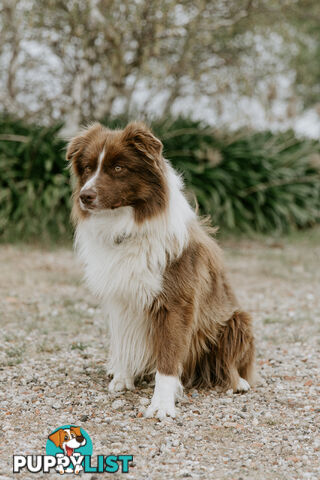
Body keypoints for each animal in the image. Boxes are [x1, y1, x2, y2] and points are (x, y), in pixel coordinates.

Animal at [67, 122, 255, 418]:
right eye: (87, 168)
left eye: (118, 168)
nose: (85, 196)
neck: (128, 227)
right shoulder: (120, 297)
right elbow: (123, 341)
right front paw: (123, 377)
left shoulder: (176, 302)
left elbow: (168, 356)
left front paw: (162, 404)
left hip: (237, 319)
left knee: (232, 362)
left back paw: (238, 382)